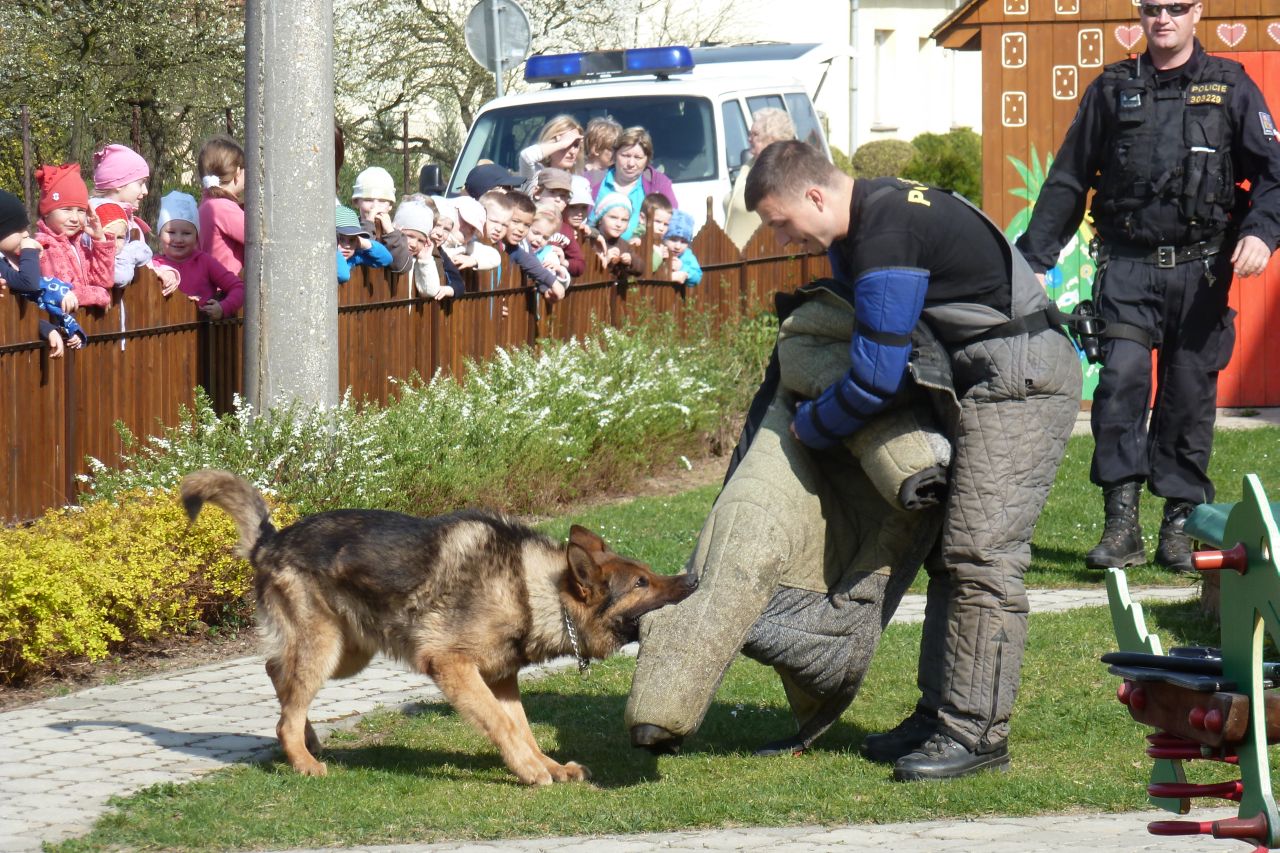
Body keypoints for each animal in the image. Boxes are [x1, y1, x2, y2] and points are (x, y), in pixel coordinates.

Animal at [180, 468, 696, 778]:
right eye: (642, 583)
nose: (693, 579)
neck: (534, 589)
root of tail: (269, 541)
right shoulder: (452, 667)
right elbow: (501, 725)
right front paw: (531, 772)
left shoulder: (501, 679)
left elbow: (522, 727)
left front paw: (546, 766)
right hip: (326, 648)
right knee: (286, 692)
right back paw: (302, 759)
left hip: (349, 652)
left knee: (278, 675)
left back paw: (305, 740)